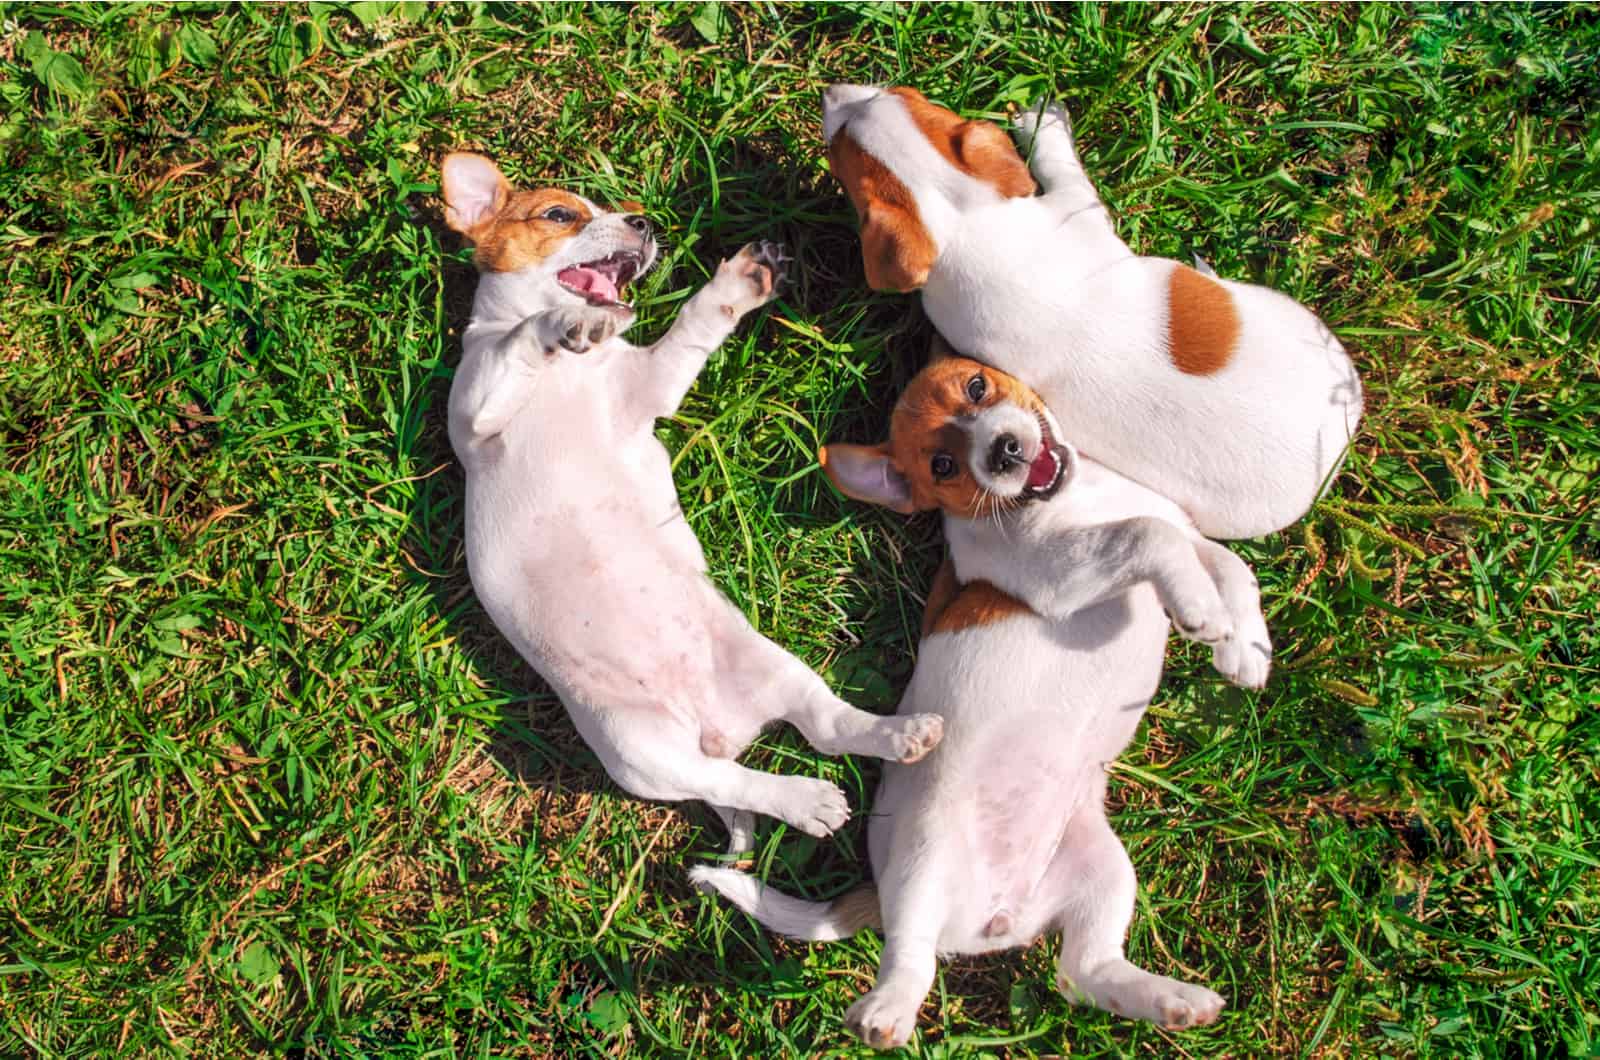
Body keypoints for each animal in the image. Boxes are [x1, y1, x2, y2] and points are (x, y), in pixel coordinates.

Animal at [438, 153, 940, 851]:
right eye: (561, 214)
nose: (643, 222)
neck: (579, 372)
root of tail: (719, 729)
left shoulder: (645, 386)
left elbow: (692, 328)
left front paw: (743, 280)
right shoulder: (477, 410)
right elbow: (522, 340)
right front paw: (561, 324)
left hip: (772, 667)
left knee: (827, 729)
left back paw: (901, 735)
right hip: (641, 753)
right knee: (740, 782)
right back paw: (809, 800)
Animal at [694, 355, 1267, 1043]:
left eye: (977, 386)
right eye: (942, 466)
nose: (1004, 450)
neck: (1077, 498)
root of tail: (995, 921)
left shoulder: (1177, 533)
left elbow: (1227, 562)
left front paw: (1245, 646)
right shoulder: (1062, 574)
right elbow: (1147, 535)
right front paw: (1201, 610)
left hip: (1105, 869)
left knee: (1083, 972)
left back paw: (1173, 1002)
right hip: (924, 861)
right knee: (911, 957)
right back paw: (884, 1013)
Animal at [825, 83, 1363, 541]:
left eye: (896, 92)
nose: (829, 92)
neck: (964, 222)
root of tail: (1338, 441)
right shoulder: (1075, 206)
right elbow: (1062, 167)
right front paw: (1044, 125)